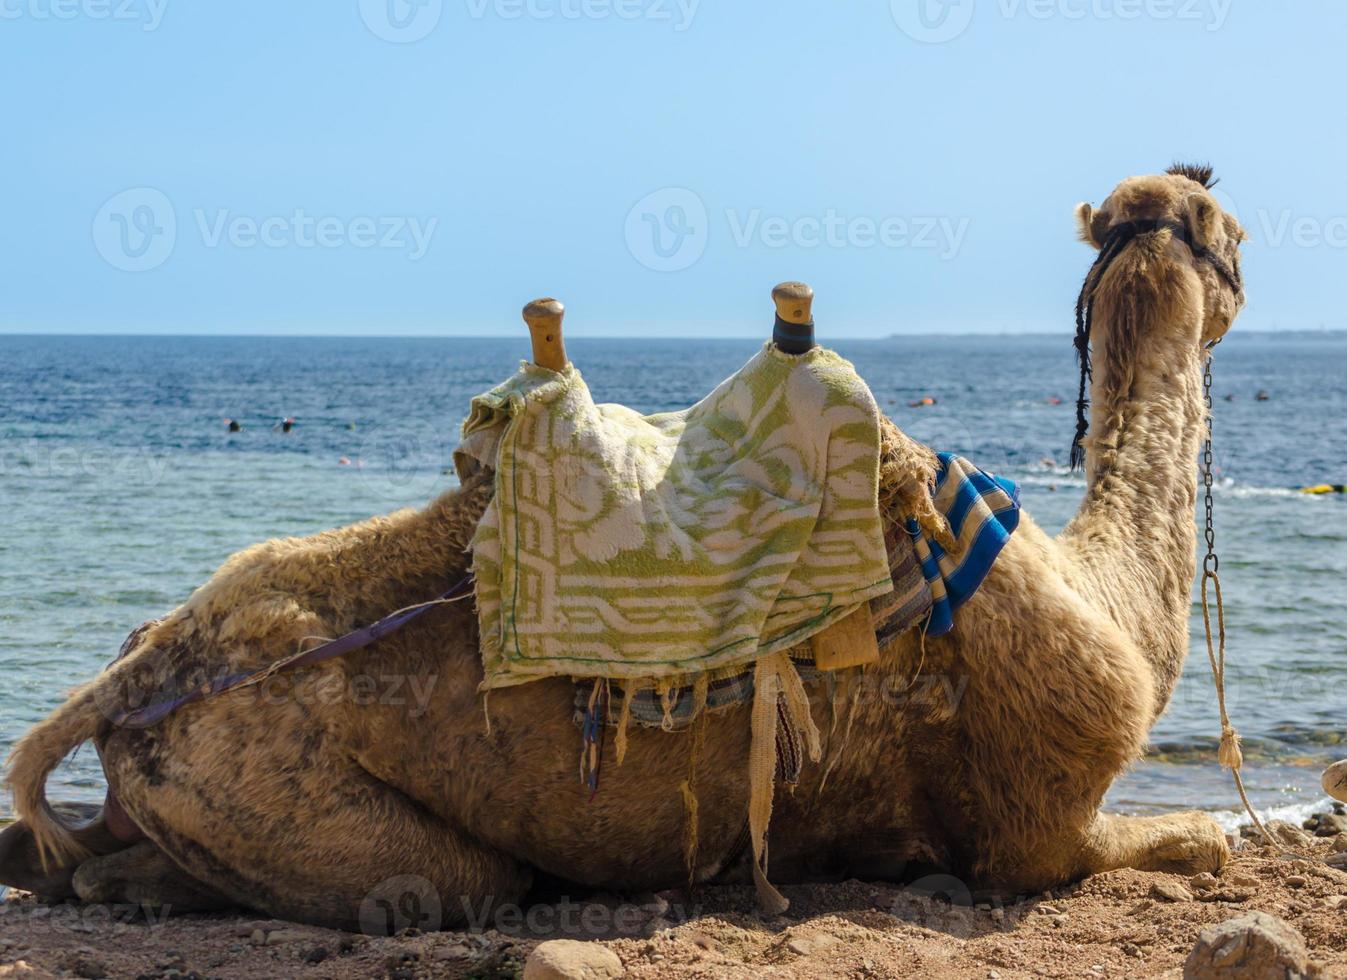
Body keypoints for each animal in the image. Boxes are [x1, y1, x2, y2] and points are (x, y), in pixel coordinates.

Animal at [0, 164, 1244, 931]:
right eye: (1227, 231)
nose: (1228, 218)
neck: (1101, 589)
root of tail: (139, 670)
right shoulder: (1040, 825)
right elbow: (1187, 845)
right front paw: (1202, 842)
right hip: (271, 779)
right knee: (462, 877)